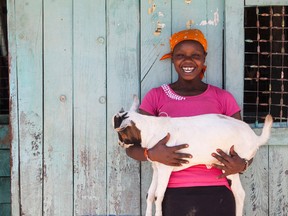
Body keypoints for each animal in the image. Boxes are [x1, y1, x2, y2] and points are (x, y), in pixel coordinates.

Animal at [112, 96, 272, 216]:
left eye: (121, 132)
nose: (119, 144)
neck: (151, 128)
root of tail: (256, 139)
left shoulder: (165, 168)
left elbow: (158, 196)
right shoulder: (157, 167)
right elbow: (150, 194)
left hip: (232, 163)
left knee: (239, 193)